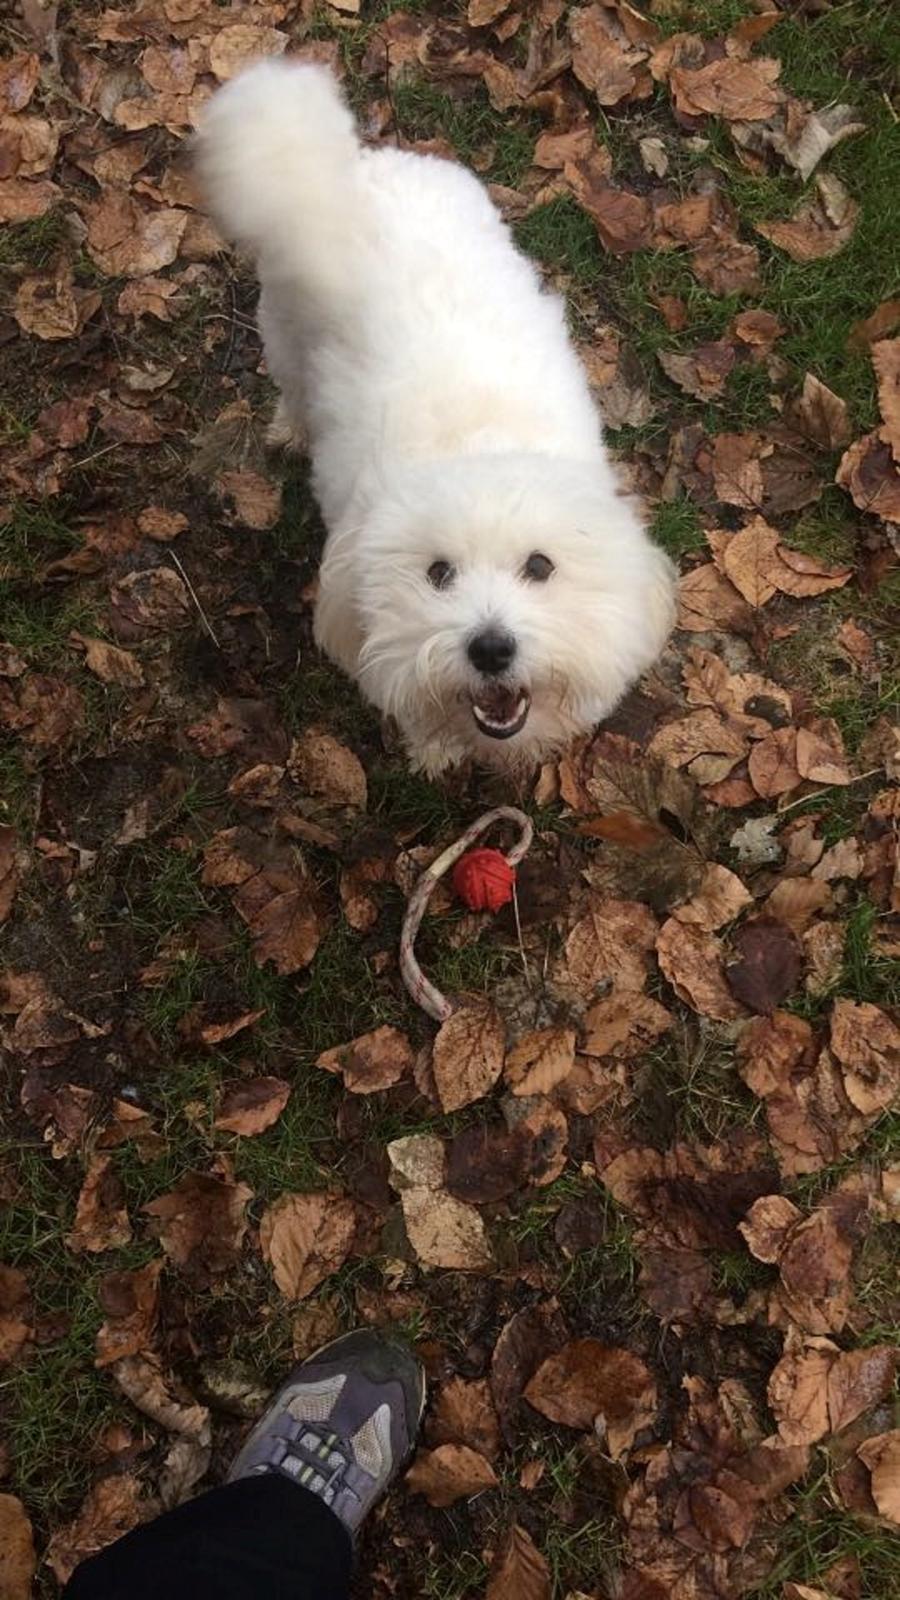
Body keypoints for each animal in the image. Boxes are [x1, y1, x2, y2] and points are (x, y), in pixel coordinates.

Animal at [196, 65, 672, 777]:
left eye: (540, 567)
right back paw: (292, 429)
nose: (491, 649)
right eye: (438, 574)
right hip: (282, 330)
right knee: (293, 387)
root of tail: (358, 163)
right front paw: (434, 748)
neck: (479, 441)